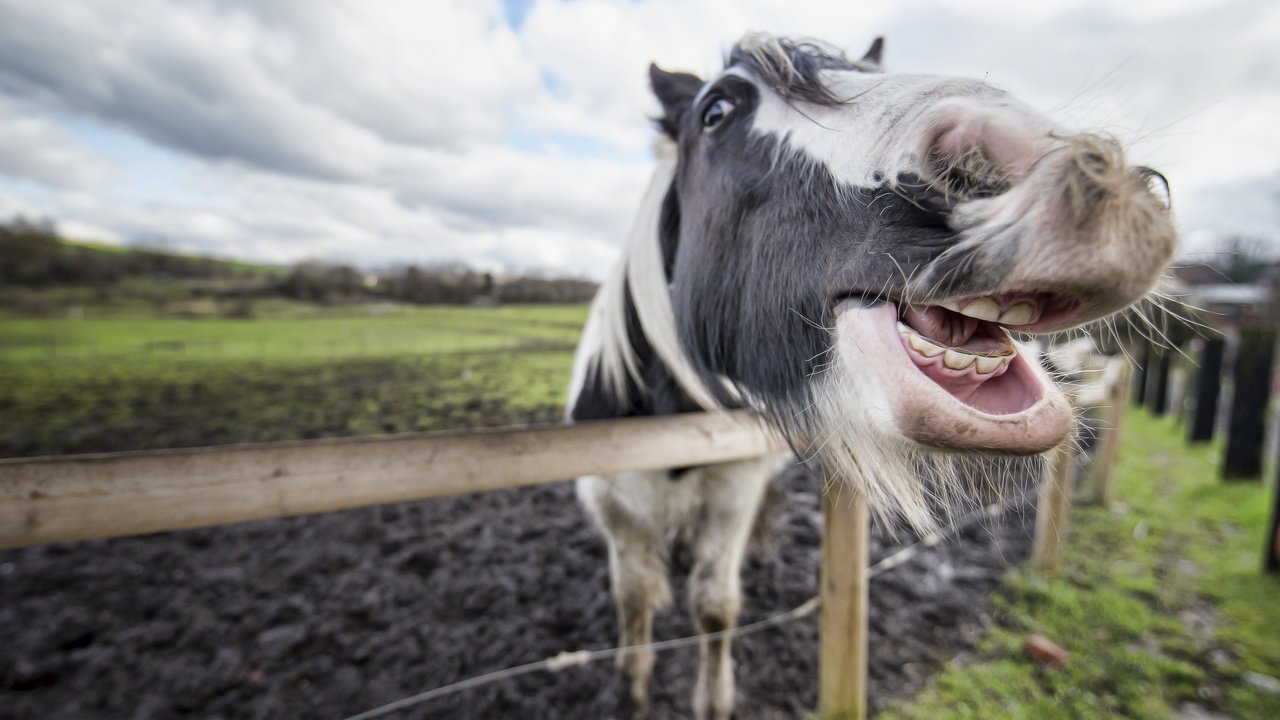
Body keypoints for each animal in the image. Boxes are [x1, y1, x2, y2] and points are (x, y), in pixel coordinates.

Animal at [565, 35, 1172, 717]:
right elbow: (634, 598)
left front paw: (712, 698)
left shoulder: (734, 494)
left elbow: (715, 607)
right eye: (714, 110)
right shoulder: (614, 507)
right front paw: (632, 685)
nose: (1056, 165)